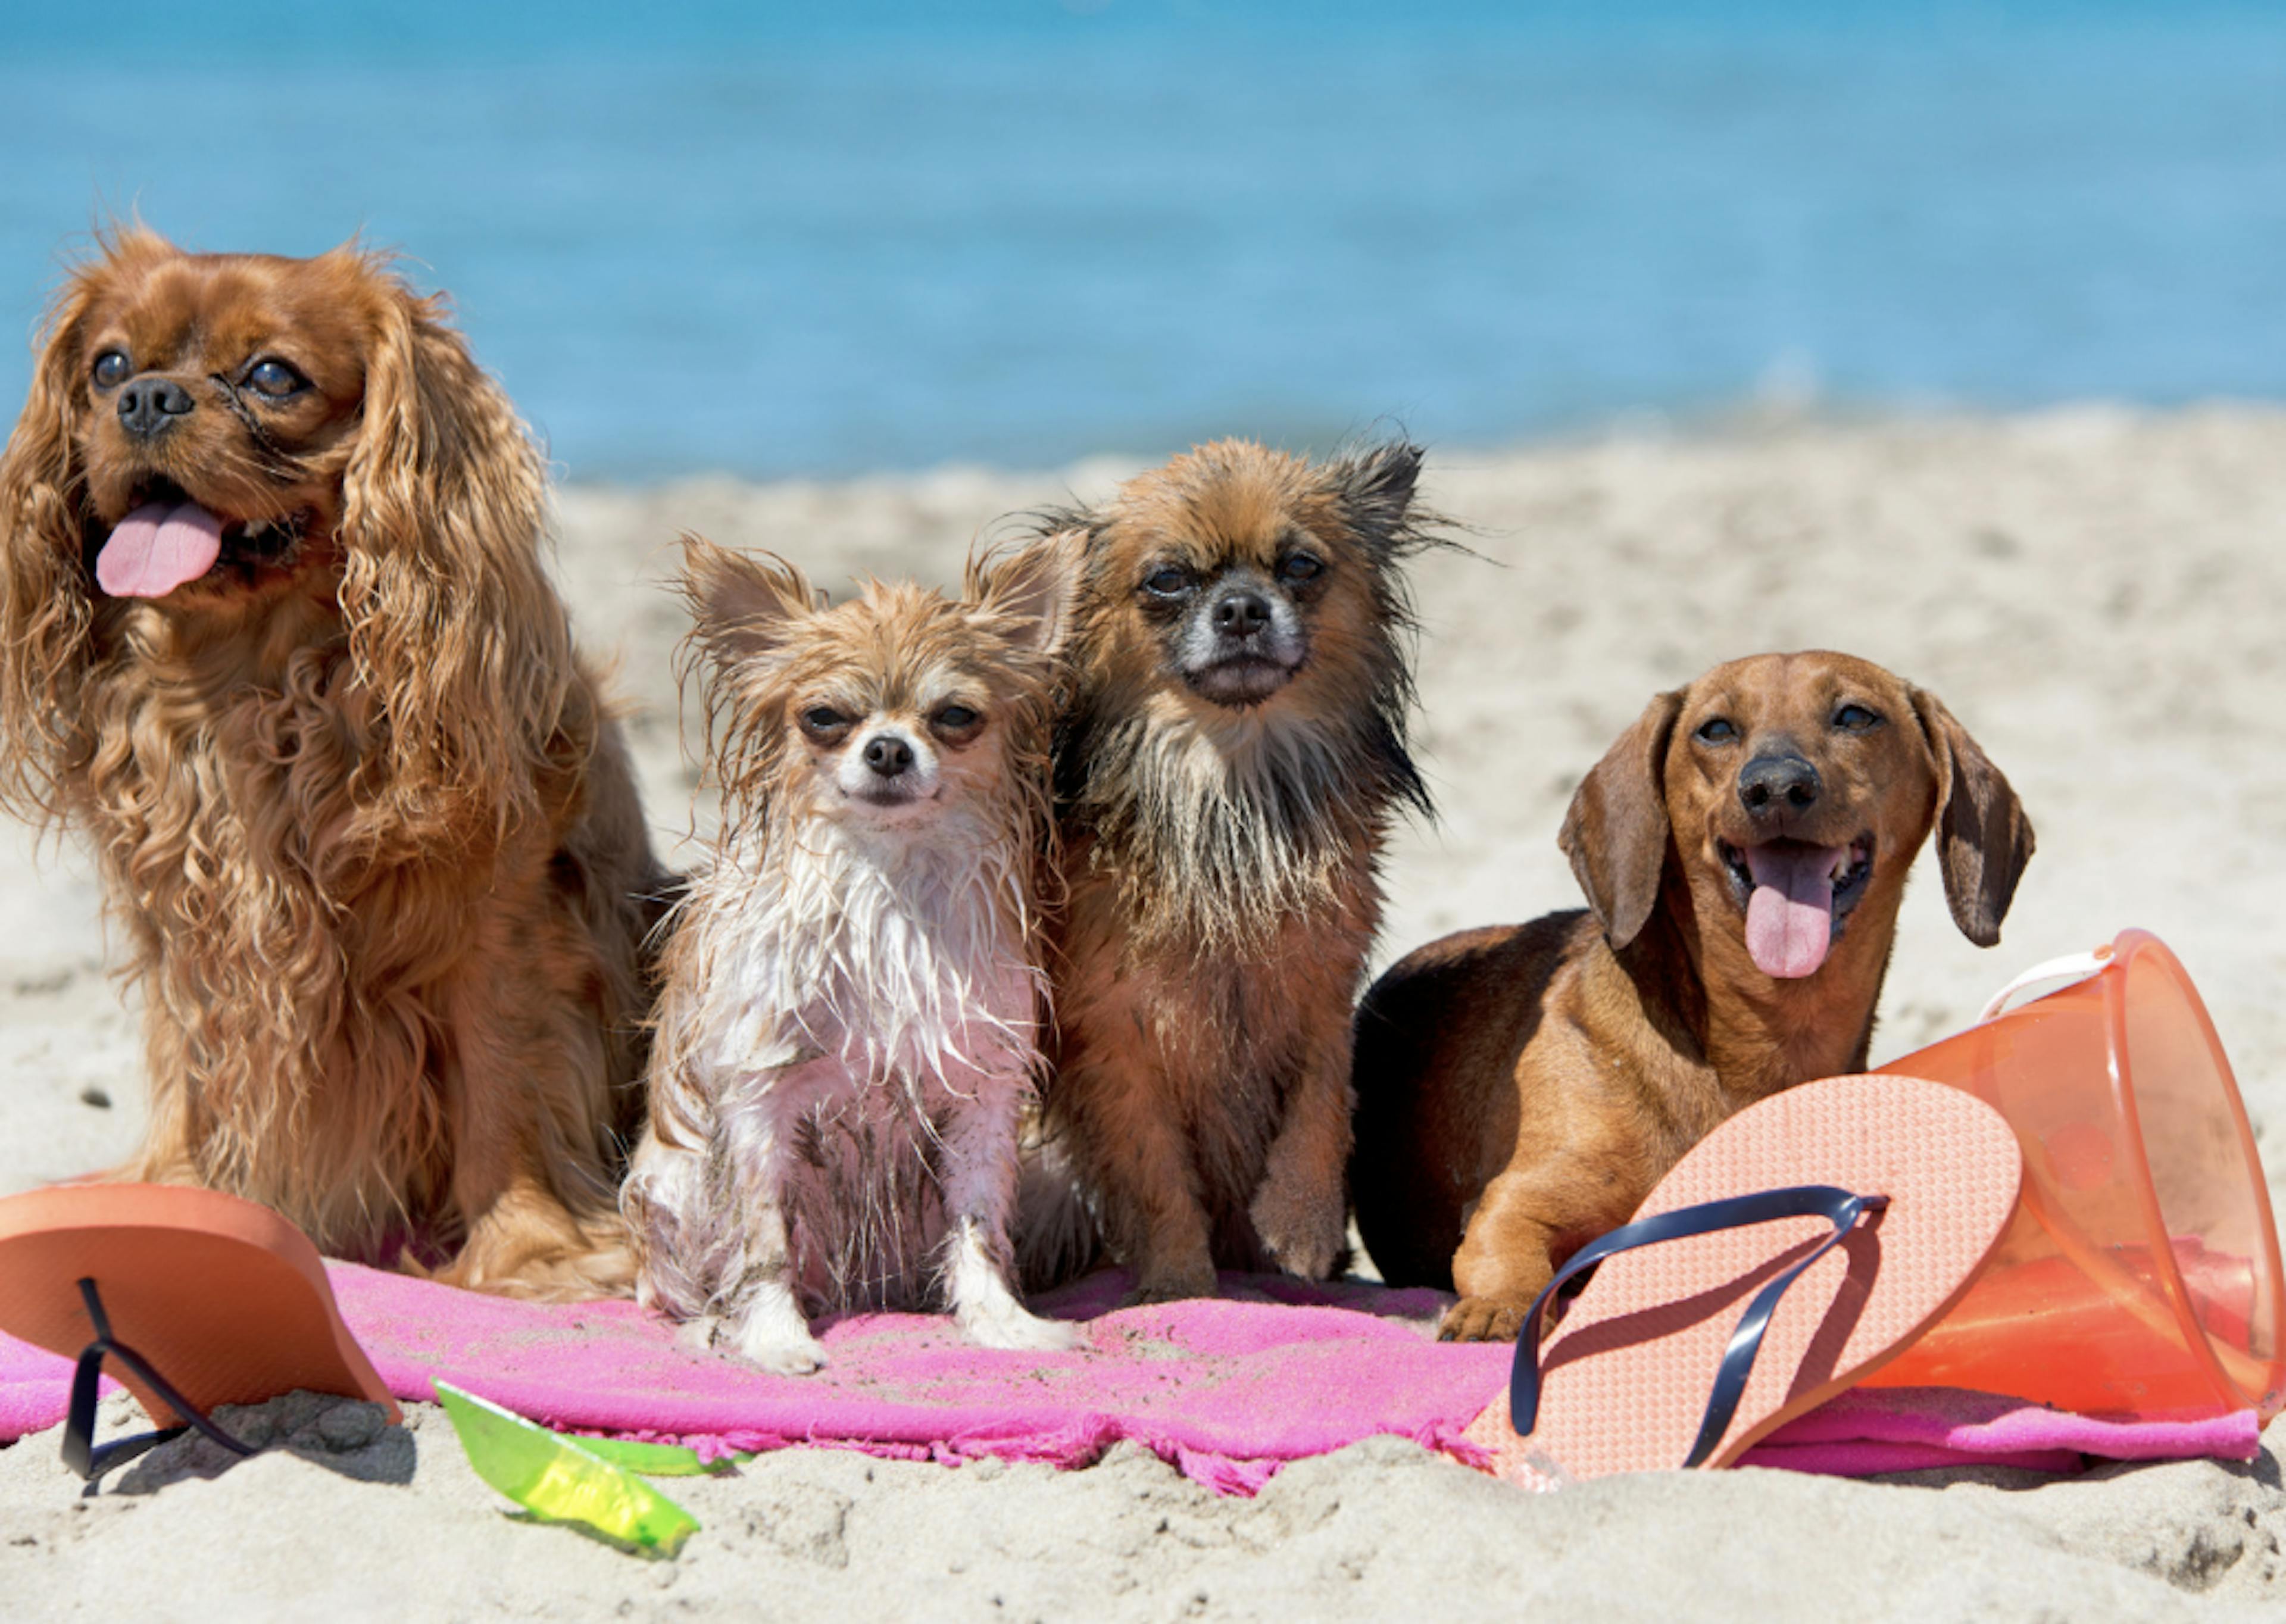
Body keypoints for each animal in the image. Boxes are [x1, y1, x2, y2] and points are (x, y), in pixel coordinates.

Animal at [0, 229, 672, 1308]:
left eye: (273, 376)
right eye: (107, 366)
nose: (147, 398)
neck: (255, 680)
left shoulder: (504, 922)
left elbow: (503, 1083)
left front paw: (525, 1252)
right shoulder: (189, 922)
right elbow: (192, 1069)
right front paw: (176, 1203)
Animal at [1042, 439, 1444, 1308]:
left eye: (1299, 566)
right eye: (1167, 579)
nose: (1240, 609)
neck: (1229, 782)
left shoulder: (1324, 989)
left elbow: (1324, 1105)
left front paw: (1302, 1222)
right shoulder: (1114, 1037)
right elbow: (1153, 1171)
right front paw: (1181, 1285)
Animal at [1335, 654, 2039, 1345]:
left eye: (1855, 716)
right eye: (1716, 729)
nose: (1775, 787)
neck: (1759, 1041)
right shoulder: (1513, 1205)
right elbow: (1510, 1263)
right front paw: (1496, 1312)